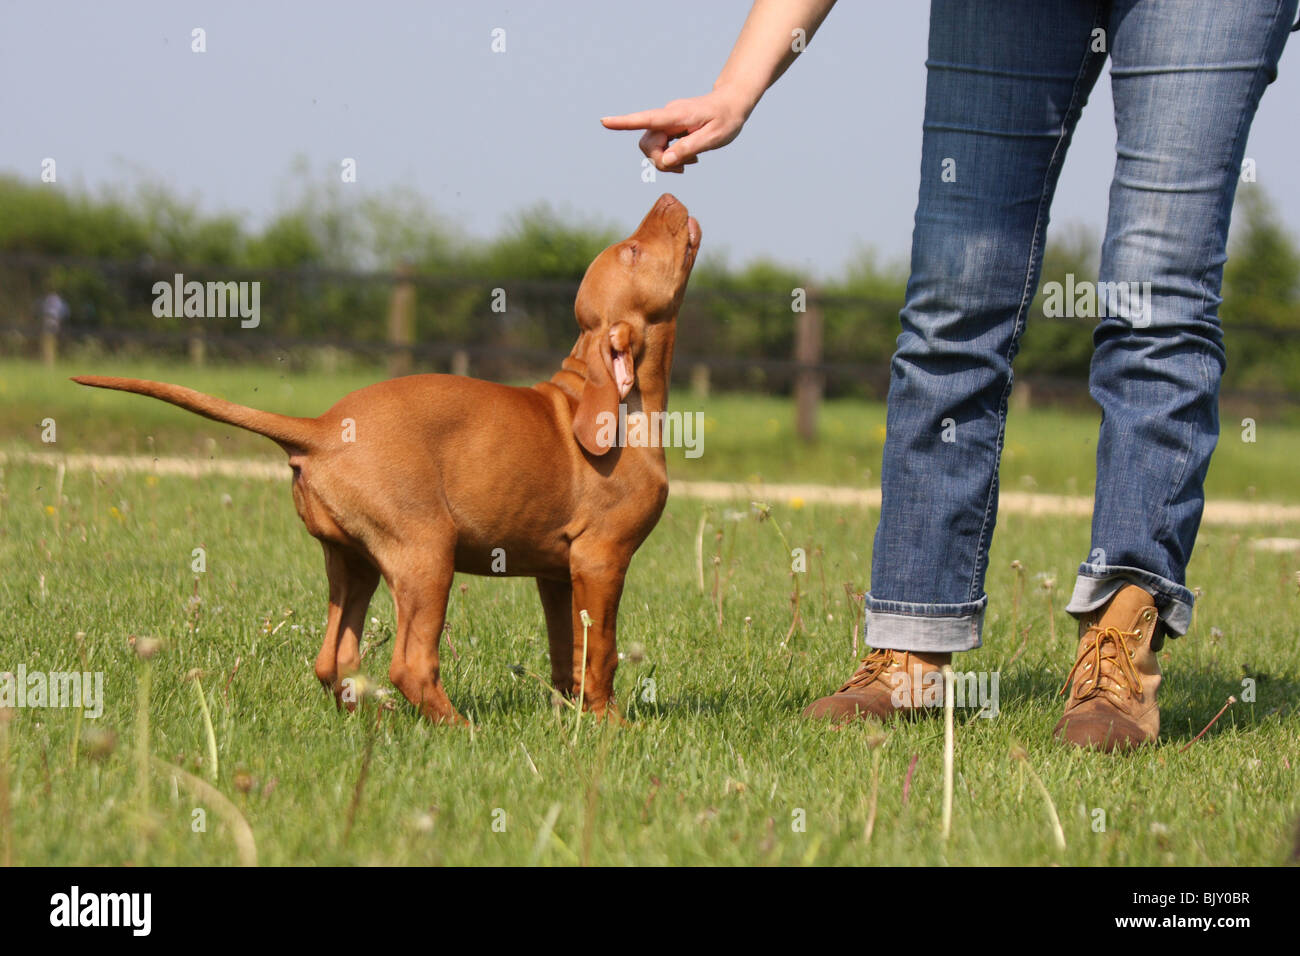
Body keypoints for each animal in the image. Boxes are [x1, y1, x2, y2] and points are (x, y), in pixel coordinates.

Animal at [73, 195, 702, 723]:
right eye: (633, 250)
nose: (669, 197)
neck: (610, 398)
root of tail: (322, 428)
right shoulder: (601, 559)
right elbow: (602, 652)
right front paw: (610, 727)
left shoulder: (557, 570)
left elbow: (569, 650)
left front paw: (572, 718)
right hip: (427, 551)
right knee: (410, 664)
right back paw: (458, 730)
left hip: (353, 559)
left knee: (333, 658)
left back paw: (376, 719)